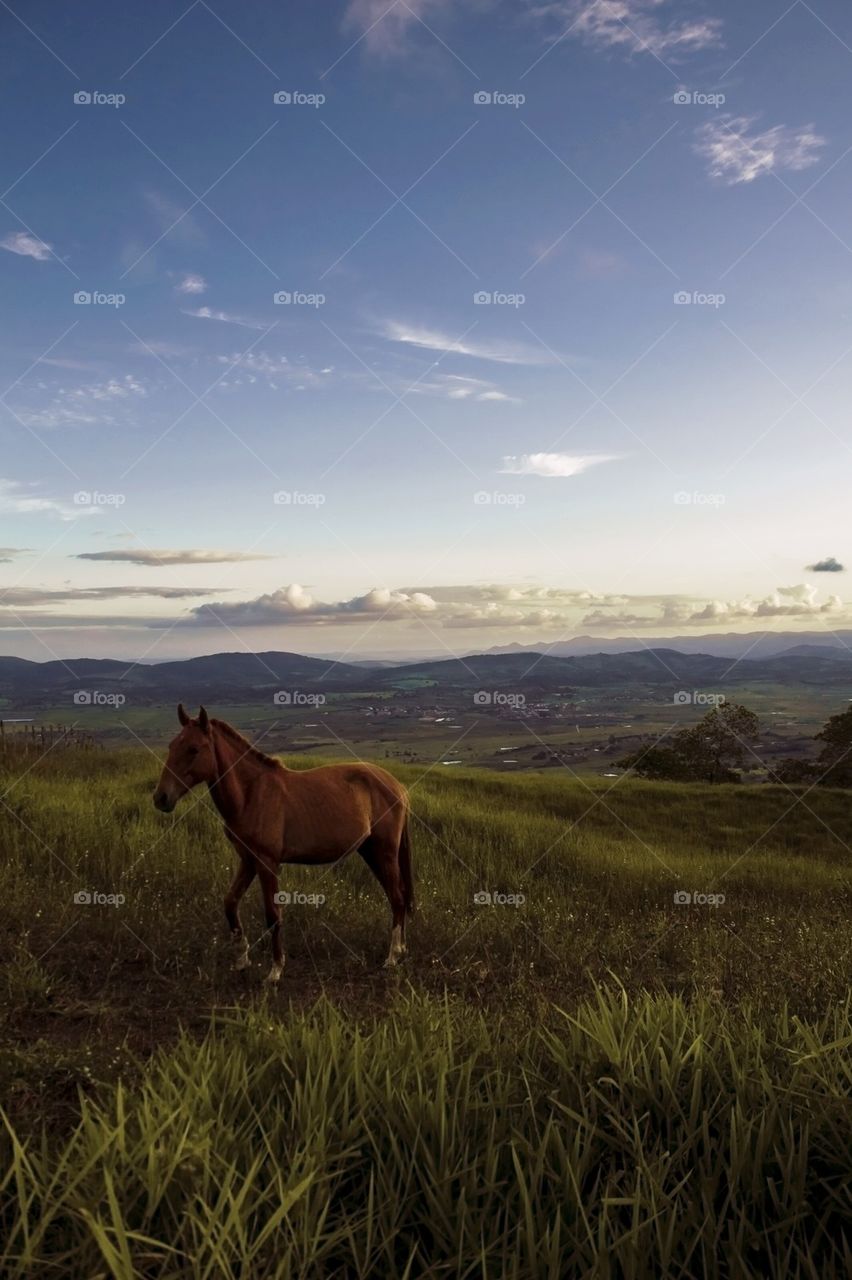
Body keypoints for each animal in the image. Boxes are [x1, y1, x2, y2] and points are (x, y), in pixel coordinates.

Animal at [156, 706, 414, 983]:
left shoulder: (267, 863)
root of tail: (398, 786)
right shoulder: (249, 861)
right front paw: (242, 960)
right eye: (172, 745)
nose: (161, 797)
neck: (250, 794)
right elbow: (230, 903)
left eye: (193, 749)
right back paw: (401, 948)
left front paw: (275, 970)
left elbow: (272, 914)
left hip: (384, 852)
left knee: (397, 897)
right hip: (370, 852)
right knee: (396, 895)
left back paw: (392, 957)